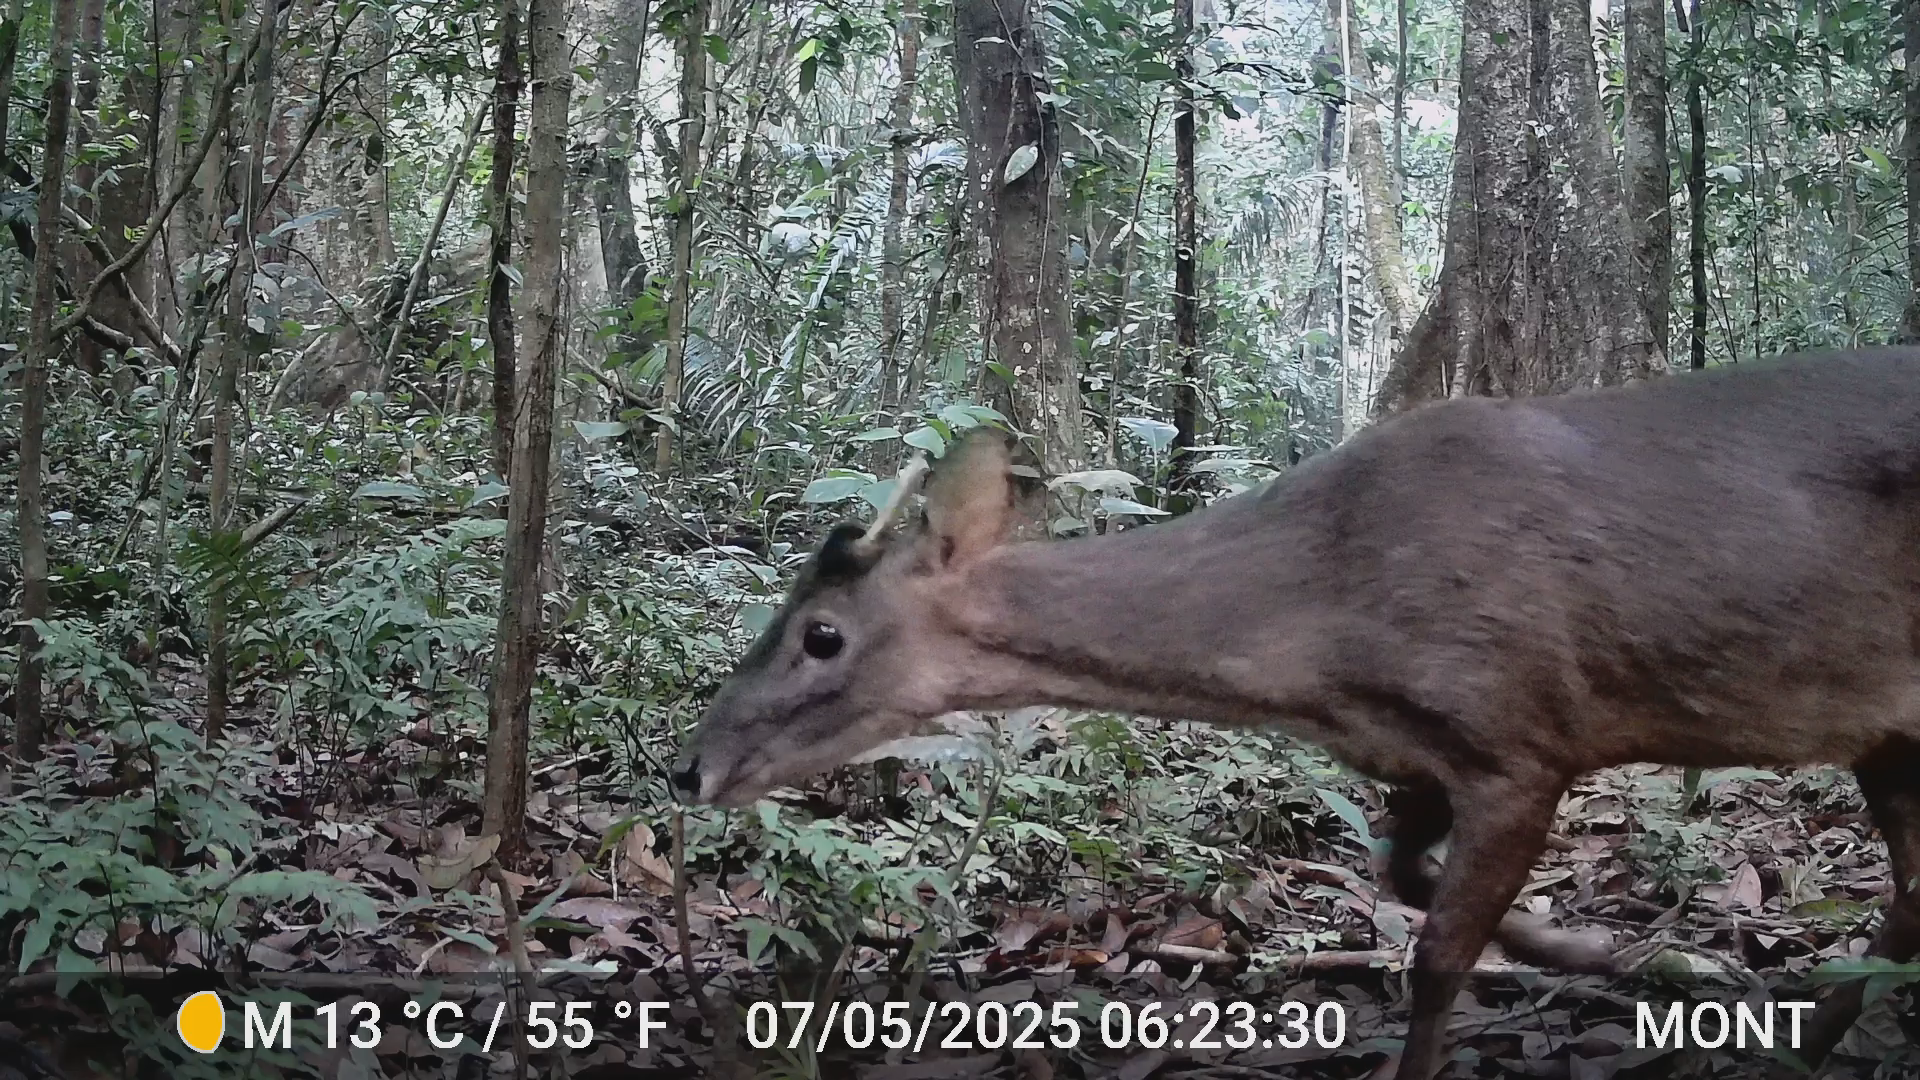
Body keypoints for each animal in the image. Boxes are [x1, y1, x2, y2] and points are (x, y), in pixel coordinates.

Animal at [671, 347, 1920, 1079]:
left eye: (820, 634)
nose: (690, 769)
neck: (1325, 614)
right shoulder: (1420, 752)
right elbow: (1398, 875)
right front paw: (1589, 945)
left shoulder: (1523, 728)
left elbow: (1435, 960)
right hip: (1890, 728)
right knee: (1909, 901)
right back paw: (1796, 1046)